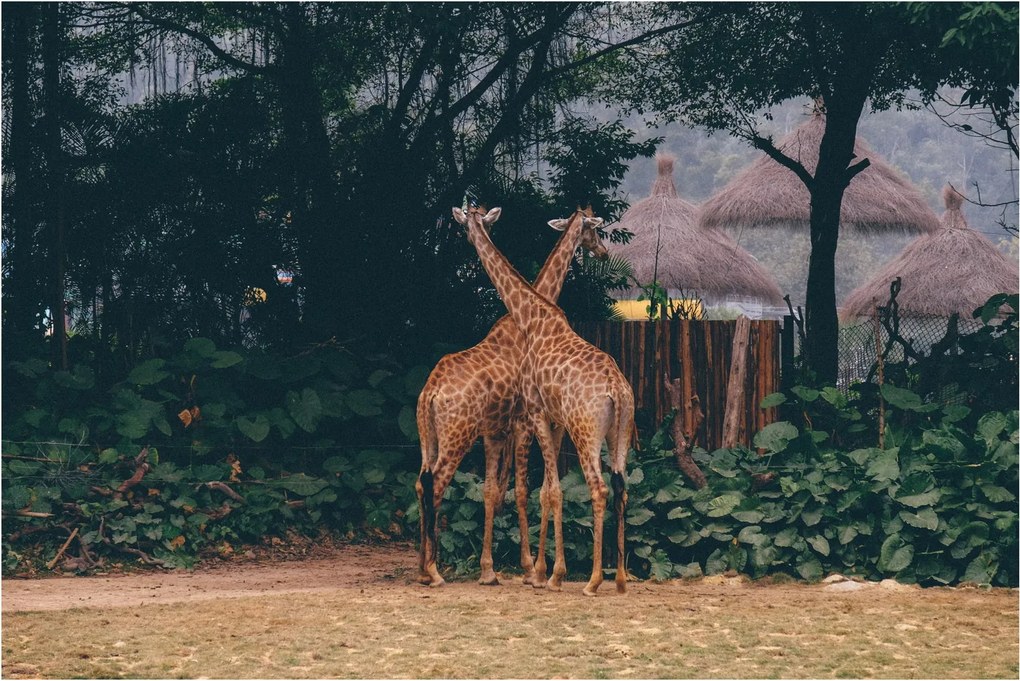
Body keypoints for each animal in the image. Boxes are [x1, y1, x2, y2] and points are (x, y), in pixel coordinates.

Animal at [416, 207, 609, 587]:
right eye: (594, 231)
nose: (604, 253)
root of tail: (430, 392)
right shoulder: (522, 422)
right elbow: (524, 490)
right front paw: (531, 568)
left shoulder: (495, 430)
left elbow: (493, 491)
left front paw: (490, 570)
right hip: (457, 436)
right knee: (436, 485)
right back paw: (433, 571)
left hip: (428, 437)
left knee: (420, 483)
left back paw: (421, 567)